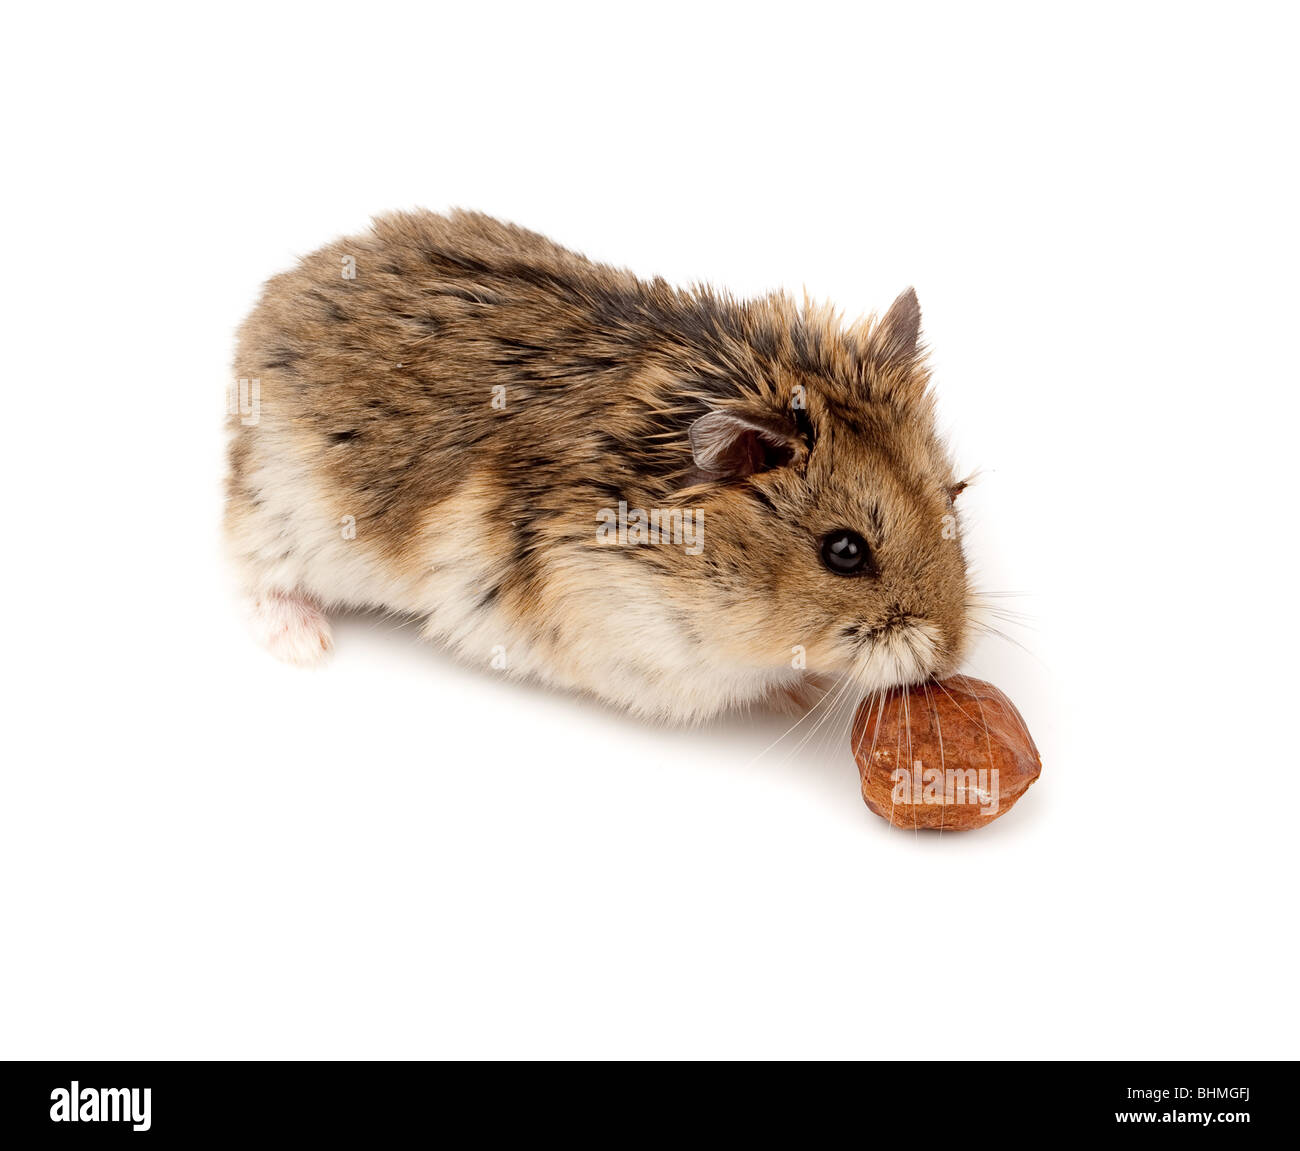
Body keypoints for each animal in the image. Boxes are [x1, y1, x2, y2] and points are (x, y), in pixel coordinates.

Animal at [225, 209, 971, 723]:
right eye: (843, 552)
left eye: (952, 499)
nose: (952, 657)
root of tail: (270, 306)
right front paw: (808, 689)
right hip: (279, 504)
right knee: (254, 571)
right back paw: (306, 643)